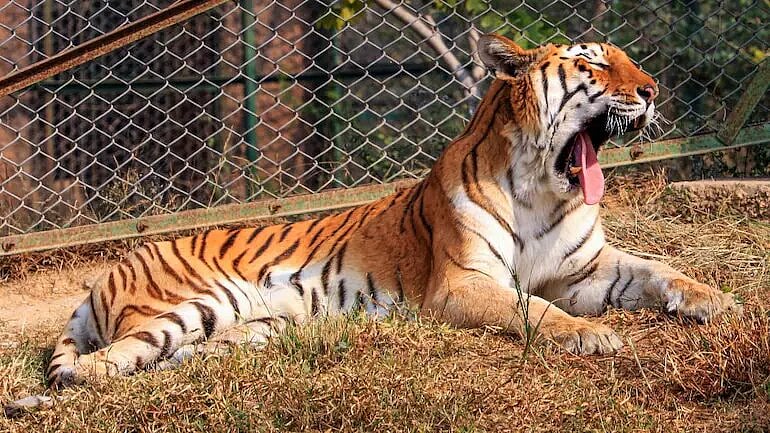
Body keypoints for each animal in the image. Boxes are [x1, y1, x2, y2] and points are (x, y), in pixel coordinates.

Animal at [29, 34, 741, 395]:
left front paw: (723, 301)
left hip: (252, 326)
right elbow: (534, 309)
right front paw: (592, 335)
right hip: (181, 308)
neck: (545, 185)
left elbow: (660, 269)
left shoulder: (589, 269)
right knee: (100, 364)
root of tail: (105, 274)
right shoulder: (462, 284)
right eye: (594, 63)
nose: (651, 90)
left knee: (186, 357)